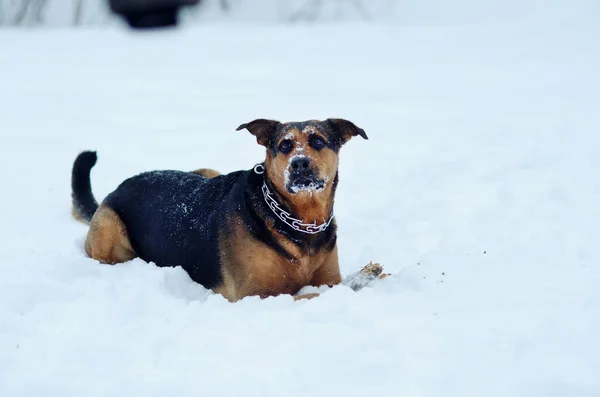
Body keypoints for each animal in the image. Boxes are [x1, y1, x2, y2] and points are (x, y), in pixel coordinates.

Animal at [72, 117, 368, 300]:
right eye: (284, 145)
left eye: (318, 141)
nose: (299, 164)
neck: (301, 222)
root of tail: (116, 189)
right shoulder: (256, 294)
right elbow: (316, 294)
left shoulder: (328, 276)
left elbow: (332, 285)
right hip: (109, 232)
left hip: (206, 170)